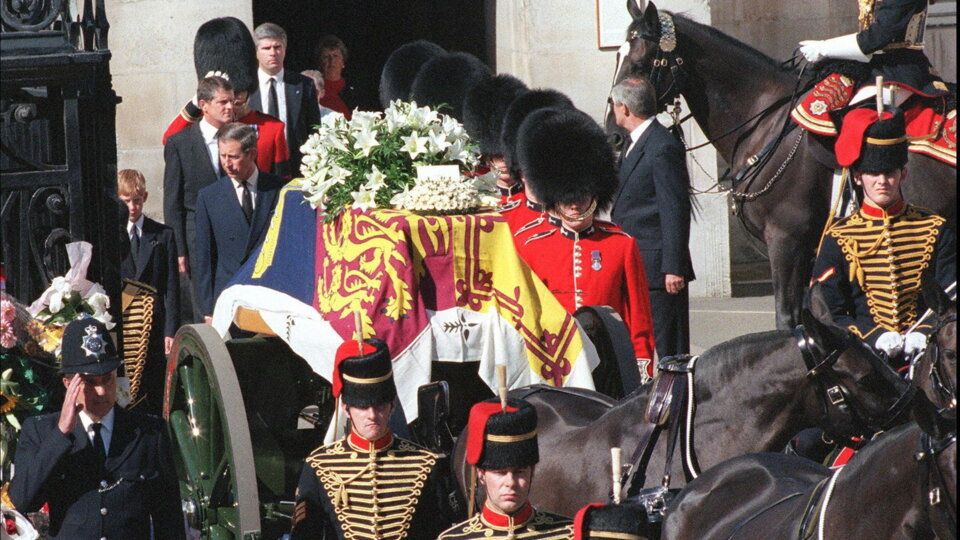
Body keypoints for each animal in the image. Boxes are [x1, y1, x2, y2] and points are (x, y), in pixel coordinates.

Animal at [604, 0, 956, 330]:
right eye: (617, 57)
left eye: (641, 63)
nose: (613, 136)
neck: (765, 119)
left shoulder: (787, 241)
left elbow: (788, 321)